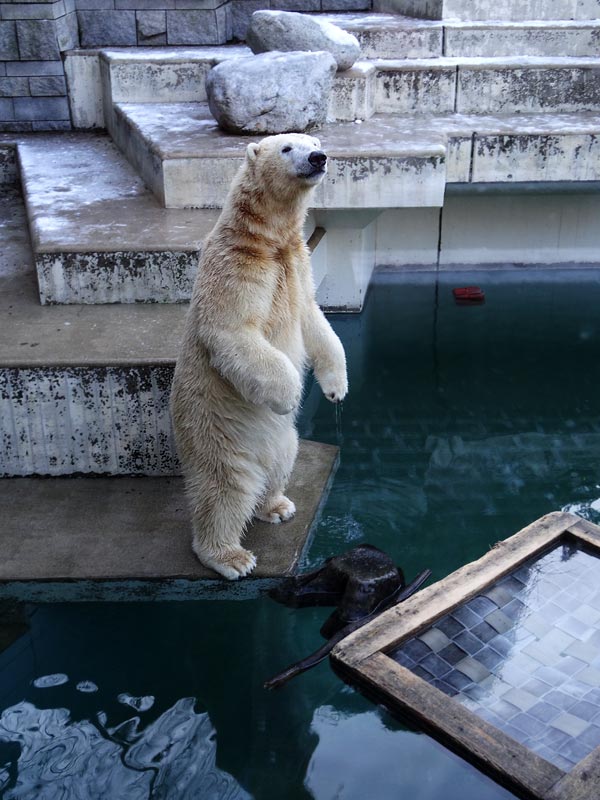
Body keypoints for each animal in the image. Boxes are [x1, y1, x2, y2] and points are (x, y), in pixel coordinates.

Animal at [169, 134, 346, 580]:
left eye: (315, 140)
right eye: (286, 148)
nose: (318, 157)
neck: (267, 240)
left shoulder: (296, 264)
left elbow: (313, 318)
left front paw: (335, 388)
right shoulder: (236, 266)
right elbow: (234, 330)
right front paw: (290, 395)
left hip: (281, 443)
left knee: (280, 464)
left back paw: (278, 505)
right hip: (217, 434)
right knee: (225, 491)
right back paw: (230, 556)